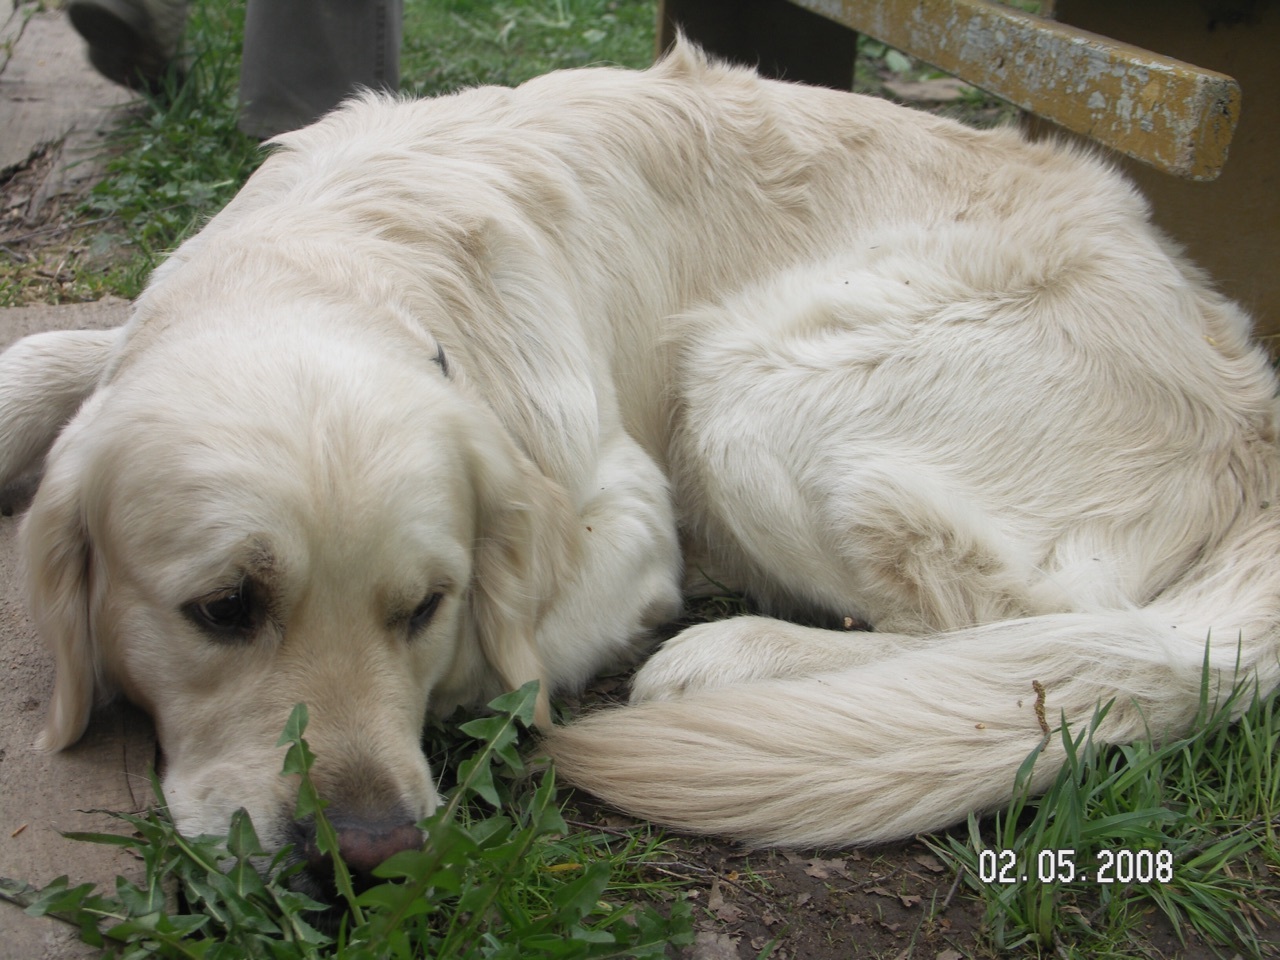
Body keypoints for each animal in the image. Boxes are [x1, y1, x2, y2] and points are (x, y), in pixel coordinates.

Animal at [2, 45, 1280, 880]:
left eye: (422, 607)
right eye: (222, 609)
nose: (366, 856)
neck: (340, 255)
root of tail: (1246, 396)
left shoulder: (617, 509)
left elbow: (501, 653)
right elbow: (43, 360)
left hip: (747, 372)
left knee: (1018, 625)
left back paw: (736, 653)